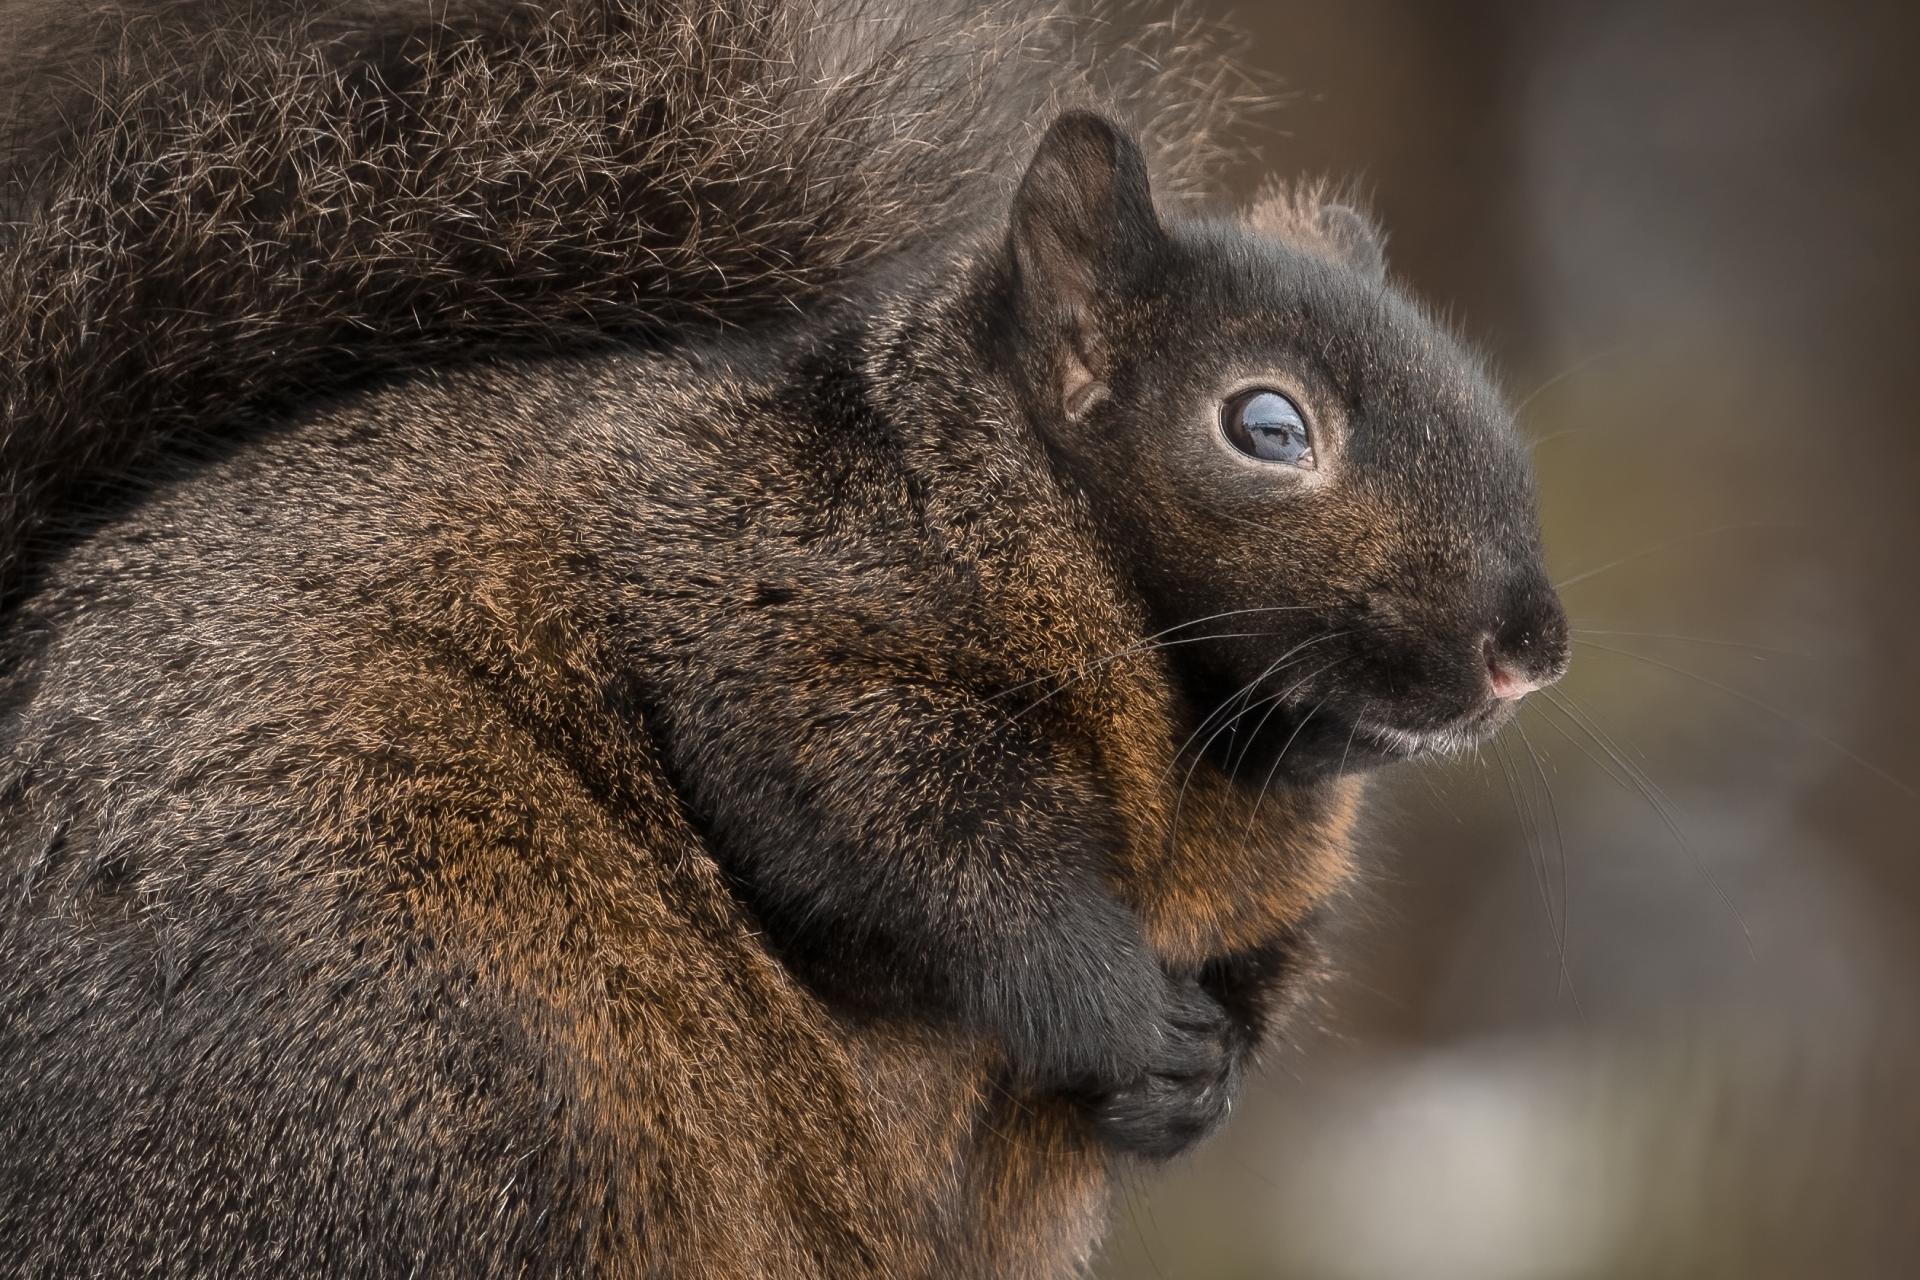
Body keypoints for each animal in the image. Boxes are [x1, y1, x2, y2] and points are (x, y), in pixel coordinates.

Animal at [0, 1, 1569, 1277]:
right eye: (1267, 426)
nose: (1531, 647)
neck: (1211, 748)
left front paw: (1198, 1079)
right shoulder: (774, 621)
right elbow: (918, 846)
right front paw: (1120, 1012)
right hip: (446, 1061)